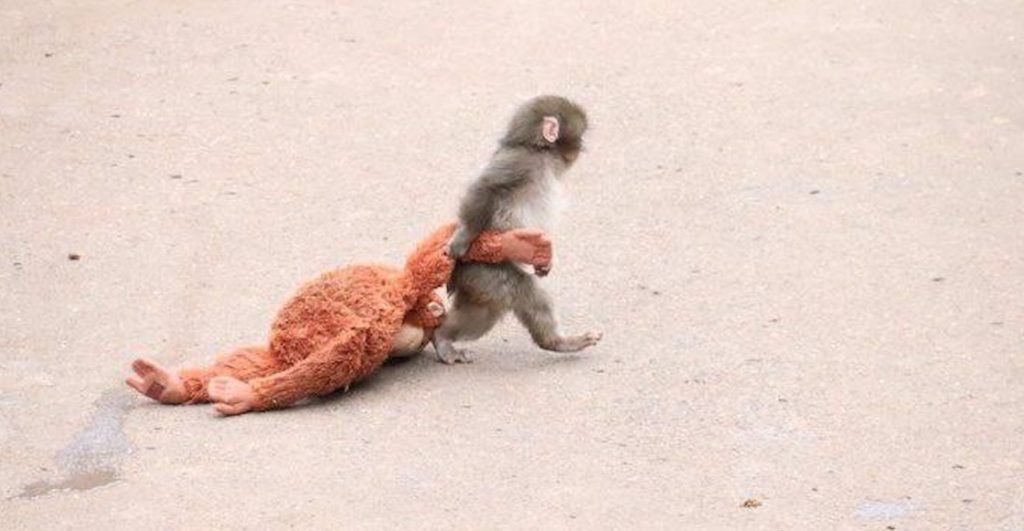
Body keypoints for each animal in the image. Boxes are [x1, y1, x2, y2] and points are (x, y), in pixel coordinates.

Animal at [433, 95, 603, 364]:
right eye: (580, 136)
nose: (581, 148)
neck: (538, 151)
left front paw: (545, 262)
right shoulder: (520, 163)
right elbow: (486, 186)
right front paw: (462, 238)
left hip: (479, 284)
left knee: (482, 313)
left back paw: (443, 335)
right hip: (485, 270)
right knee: (527, 293)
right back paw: (558, 343)